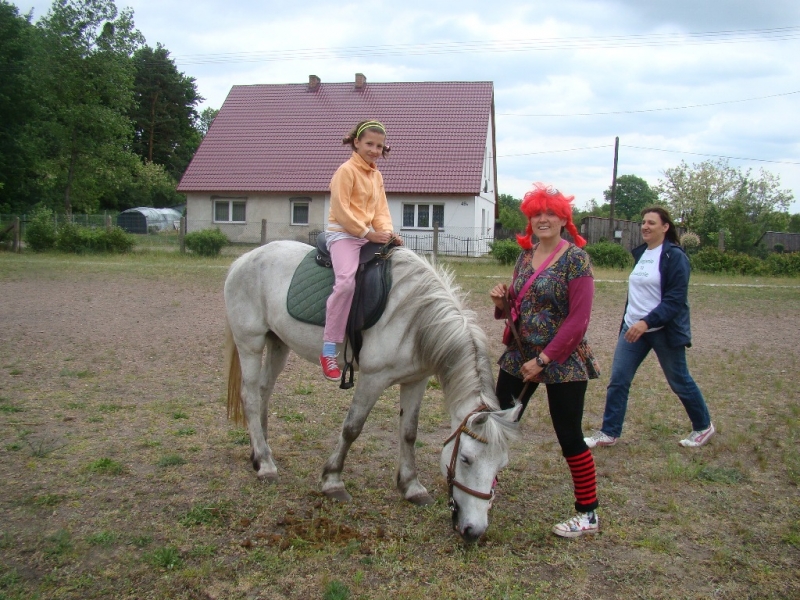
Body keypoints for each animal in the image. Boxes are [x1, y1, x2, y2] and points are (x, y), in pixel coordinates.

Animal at [225, 241, 520, 540]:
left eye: (501, 465)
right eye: (466, 459)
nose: (474, 530)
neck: (415, 316)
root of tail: (245, 259)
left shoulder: (416, 380)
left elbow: (409, 433)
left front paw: (412, 487)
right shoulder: (372, 378)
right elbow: (352, 428)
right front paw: (333, 481)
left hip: (277, 343)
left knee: (264, 391)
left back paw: (259, 452)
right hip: (250, 343)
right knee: (250, 398)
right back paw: (265, 465)